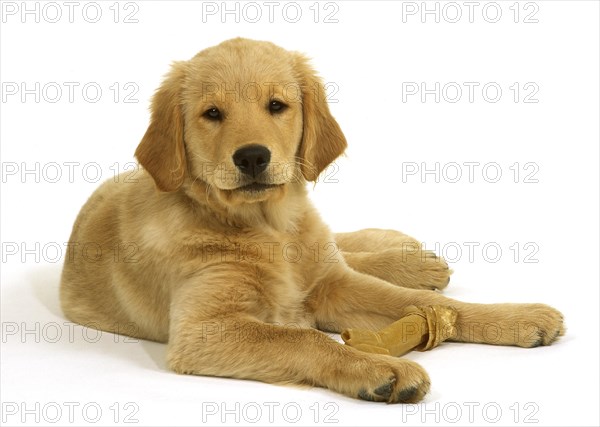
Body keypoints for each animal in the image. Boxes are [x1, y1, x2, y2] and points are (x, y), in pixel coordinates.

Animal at [59, 38, 564, 402]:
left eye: (276, 106)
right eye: (212, 113)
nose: (252, 156)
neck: (269, 227)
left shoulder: (334, 286)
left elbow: (427, 304)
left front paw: (520, 316)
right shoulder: (202, 329)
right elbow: (306, 340)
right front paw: (382, 368)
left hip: (325, 255)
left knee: (344, 247)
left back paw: (410, 257)